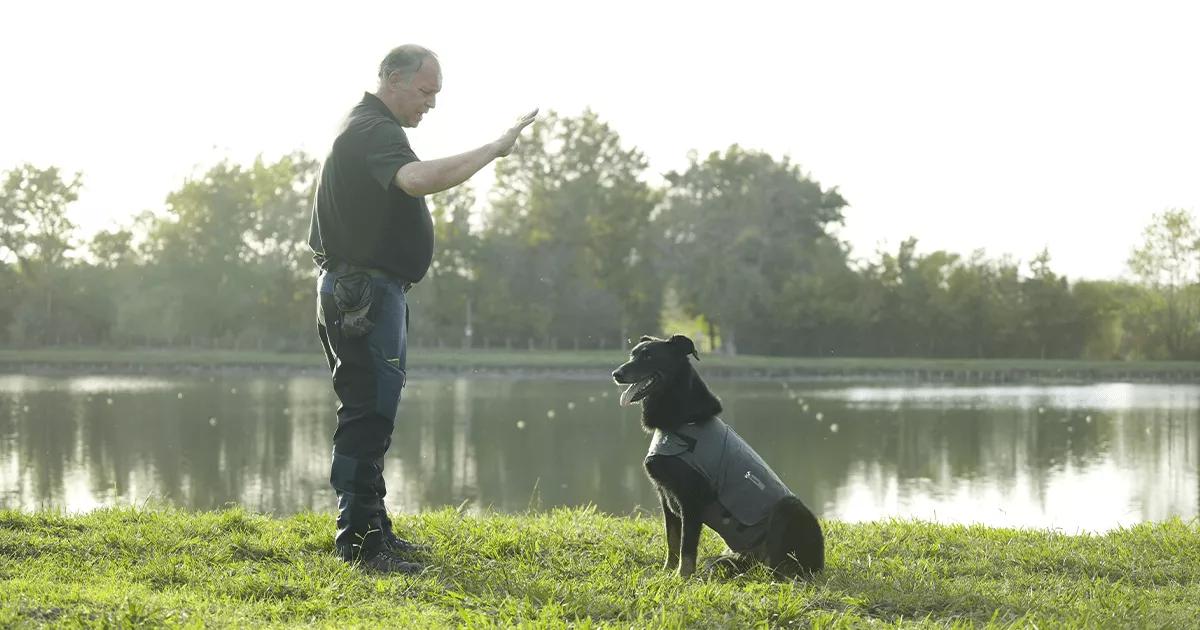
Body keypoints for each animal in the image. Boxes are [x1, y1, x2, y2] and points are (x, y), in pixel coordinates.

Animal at [614, 336, 820, 578]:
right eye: (633, 354)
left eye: (648, 356)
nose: (616, 374)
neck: (682, 423)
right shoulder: (665, 495)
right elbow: (672, 540)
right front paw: (667, 571)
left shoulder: (691, 499)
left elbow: (686, 547)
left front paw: (682, 577)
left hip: (788, 508)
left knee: (779, 563)